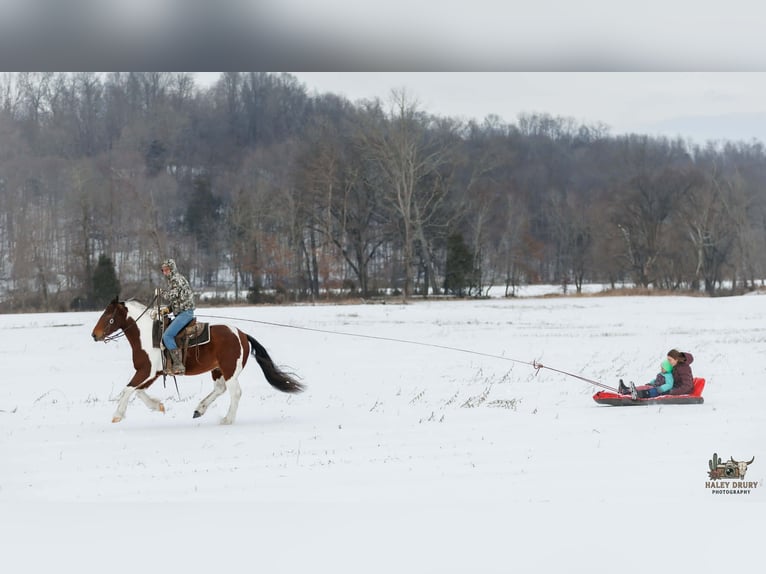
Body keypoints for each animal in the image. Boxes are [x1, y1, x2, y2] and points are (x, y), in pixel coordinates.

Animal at [91, 298, 304, 424]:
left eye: (108, 316)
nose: (94, 335)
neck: (147, 335)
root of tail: (242, 334)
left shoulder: (146, 371)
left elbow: (128, 389)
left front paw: (117, 415)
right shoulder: (153, 373)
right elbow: (138, 391)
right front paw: (158, 406)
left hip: (230, 371)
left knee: (235, 392)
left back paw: (227, 419)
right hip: (217, 370)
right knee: (220, 389)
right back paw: (199, 409)